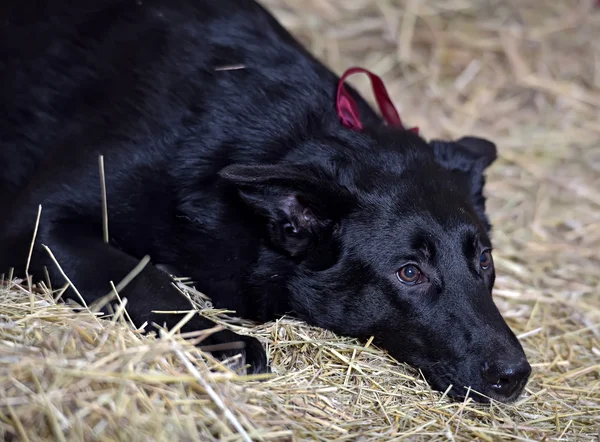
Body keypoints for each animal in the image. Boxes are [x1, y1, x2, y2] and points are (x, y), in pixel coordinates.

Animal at [0, 0, 528, 402]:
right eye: (410, 273)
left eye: (484, 259)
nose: (515, 376)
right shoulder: (41, 219)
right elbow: (148, 278)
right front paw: (228, 342)